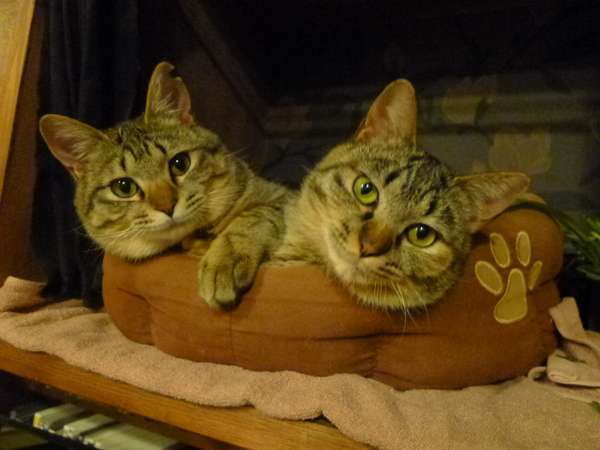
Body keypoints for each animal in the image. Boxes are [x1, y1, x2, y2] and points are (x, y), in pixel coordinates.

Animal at [38, 61, 290, 308]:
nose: (167, 207)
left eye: (180, 163)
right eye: (124, 187)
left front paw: (224, 261)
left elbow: (251, 217)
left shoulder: (282, 198)